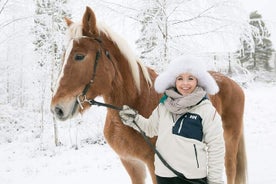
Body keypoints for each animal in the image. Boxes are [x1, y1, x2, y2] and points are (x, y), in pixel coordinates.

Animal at [50, 6, 247, 183]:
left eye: (79, 56)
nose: (56, 109)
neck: (138, 99)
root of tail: (233, 83)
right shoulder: (131, 163)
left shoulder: (154, 166)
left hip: (229, 141)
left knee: (230, 169)